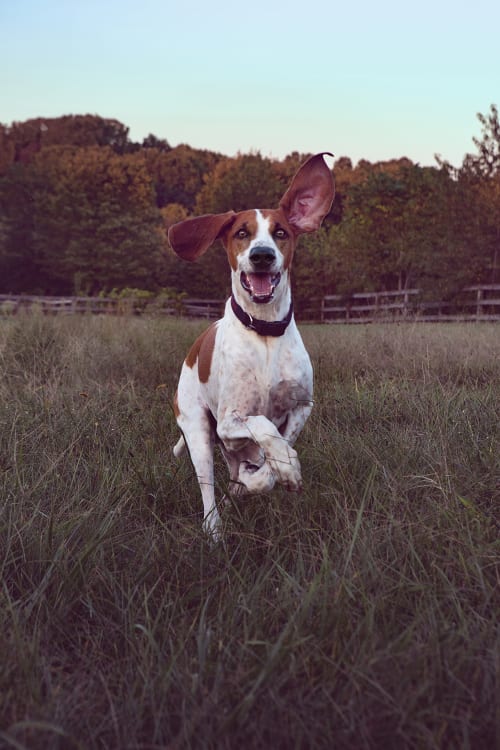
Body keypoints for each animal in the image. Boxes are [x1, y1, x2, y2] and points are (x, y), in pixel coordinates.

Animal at [168, 154, 336, 540]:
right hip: (198, 431)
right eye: (241, 233)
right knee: (209, 488)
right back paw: (214, 530)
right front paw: (281, 467)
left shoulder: (301, 407)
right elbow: (262, 424)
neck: (265, 332)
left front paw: (275, 472)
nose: (261, 255)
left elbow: (276, 452)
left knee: (238, 476)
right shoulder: (230, 423)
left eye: (281, 233)